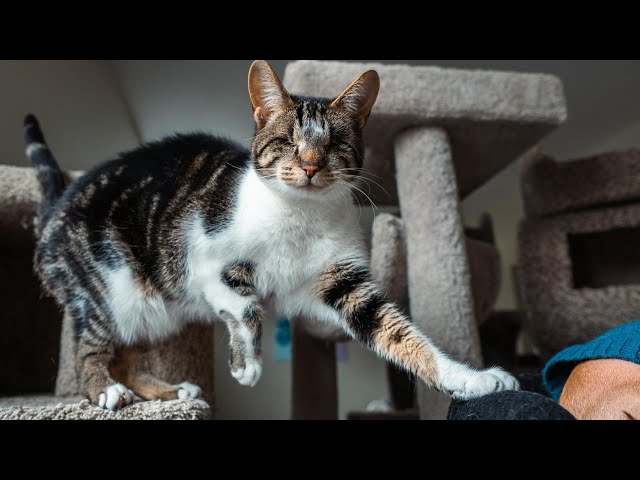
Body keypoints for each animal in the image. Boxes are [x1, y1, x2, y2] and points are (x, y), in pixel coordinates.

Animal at [26, 62, 520, 410]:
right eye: (287, 141)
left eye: (334, 145)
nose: (310, 165)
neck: (298, 216)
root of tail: (55, 206)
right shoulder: (202, 255)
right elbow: (244, 304)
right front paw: (246, 364)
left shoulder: (341, 281)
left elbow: (398, 335)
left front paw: (474, 379)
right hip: (111, 287)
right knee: (90, 346)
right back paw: (104, 391)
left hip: (152, 308)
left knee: (128, 354)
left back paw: (170, 392)